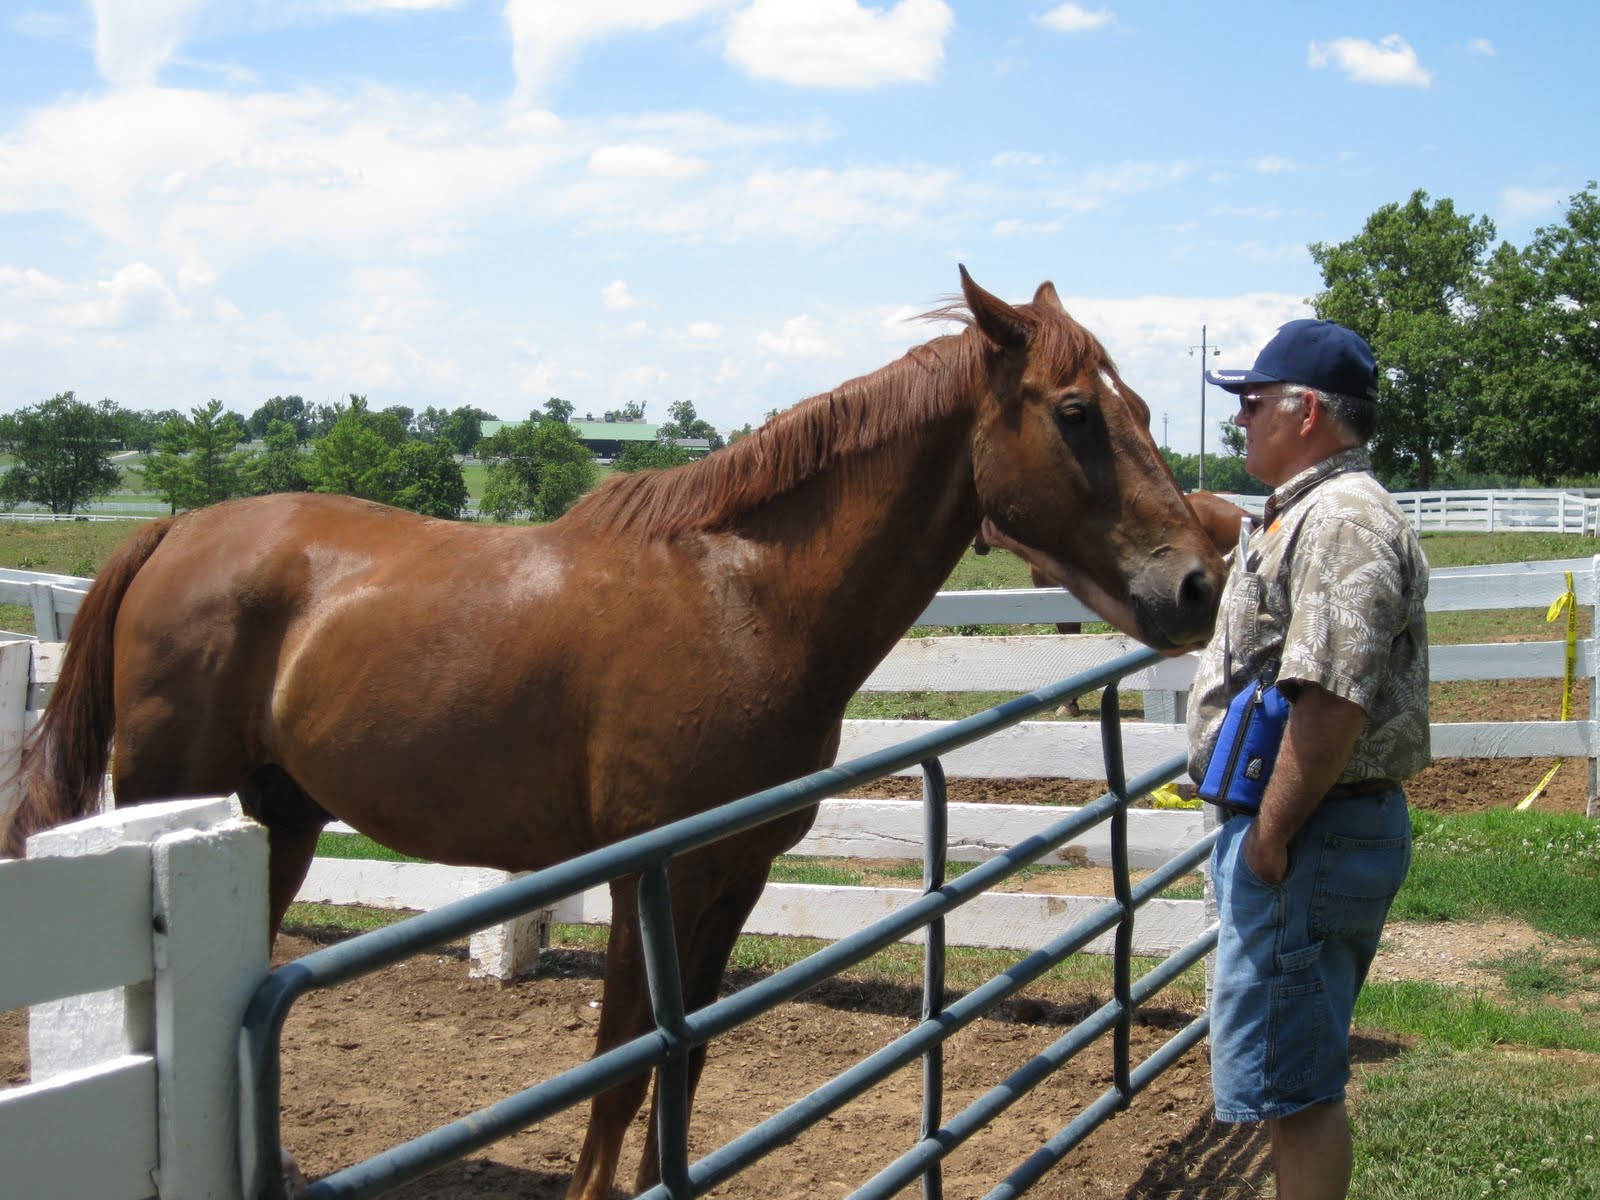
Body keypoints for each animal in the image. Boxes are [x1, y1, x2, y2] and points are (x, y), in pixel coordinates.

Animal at [2, 267, 1225, 1200]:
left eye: (1144, 408)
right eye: (1076, 413)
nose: (1198, 587)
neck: (744, 600)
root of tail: (174, 533)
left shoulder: (731, 878)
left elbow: (683, 1068)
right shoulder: (659, 878)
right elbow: (626, 1063)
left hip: (284, 820)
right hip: (178, 797)